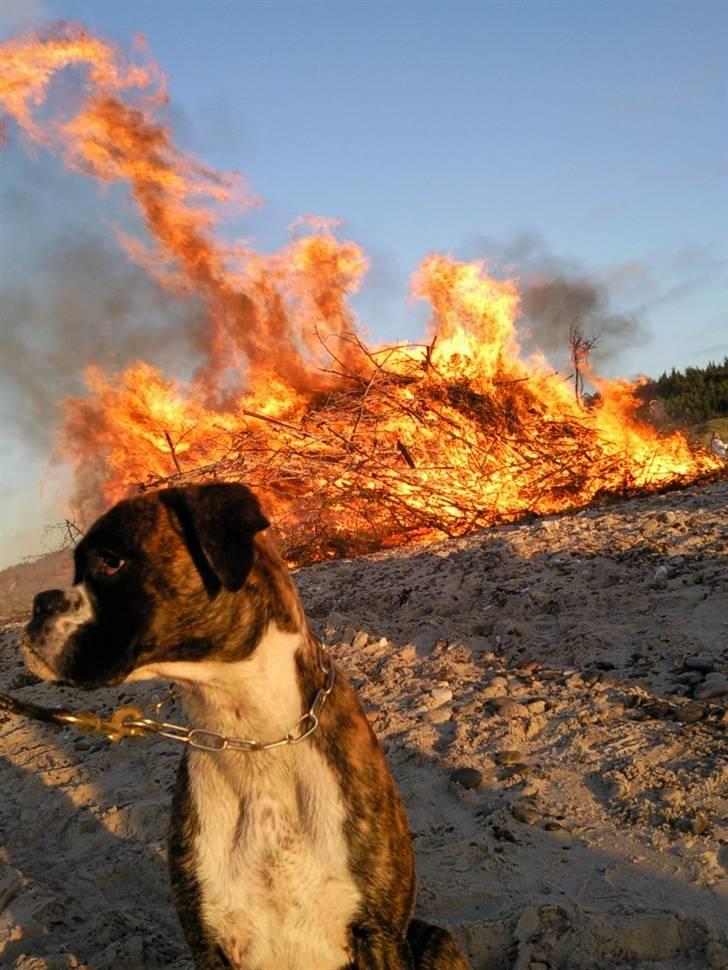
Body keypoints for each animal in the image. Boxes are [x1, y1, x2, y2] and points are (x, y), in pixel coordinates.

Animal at [22, 484, 470, 968]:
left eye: (111, 562)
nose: (39, 602)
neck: (251, 735)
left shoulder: (379, 934)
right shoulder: (208, 943)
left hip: (433, 939)